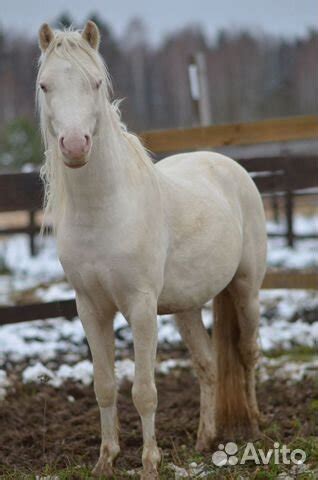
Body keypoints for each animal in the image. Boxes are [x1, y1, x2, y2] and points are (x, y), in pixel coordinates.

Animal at [36, 20, 266, 478]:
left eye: (94, 83)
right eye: (44, 85)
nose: (75, 145)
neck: (104, 210)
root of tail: (228, 165)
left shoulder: (140, 308)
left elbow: (144, 391)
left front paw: (149, 464)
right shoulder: (90, 308)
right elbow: (104, 385)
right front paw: (105, 461)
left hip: (246, 288)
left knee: (247, 353)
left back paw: (250, 426)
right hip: (186, 307)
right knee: (208, 366)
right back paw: (205, 439)